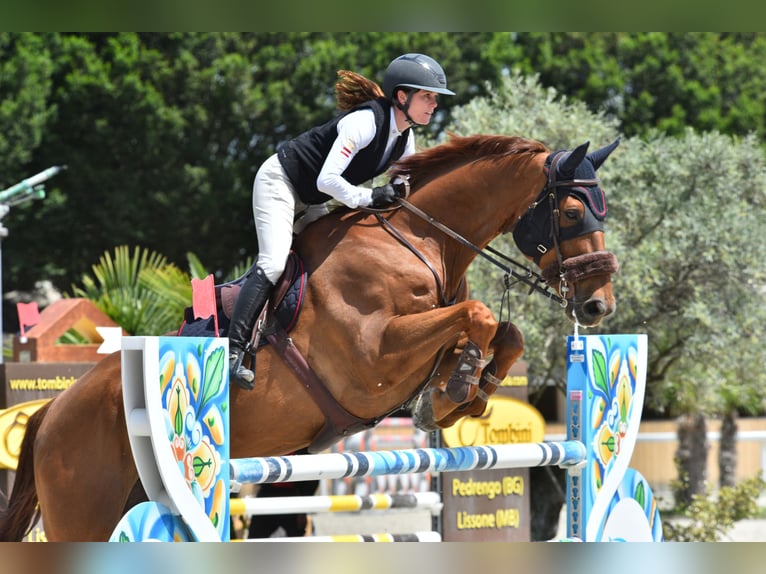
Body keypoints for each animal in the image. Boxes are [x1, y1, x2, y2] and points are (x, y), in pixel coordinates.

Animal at [0, 134, 620, 541]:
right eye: (571, 212)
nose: (599, 305)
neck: (416, 236)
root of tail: (51, 410)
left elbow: (504, 331)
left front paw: (465, 391)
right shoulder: (374, 360)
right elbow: (482, 315)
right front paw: (454, 388)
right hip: (84, 513)